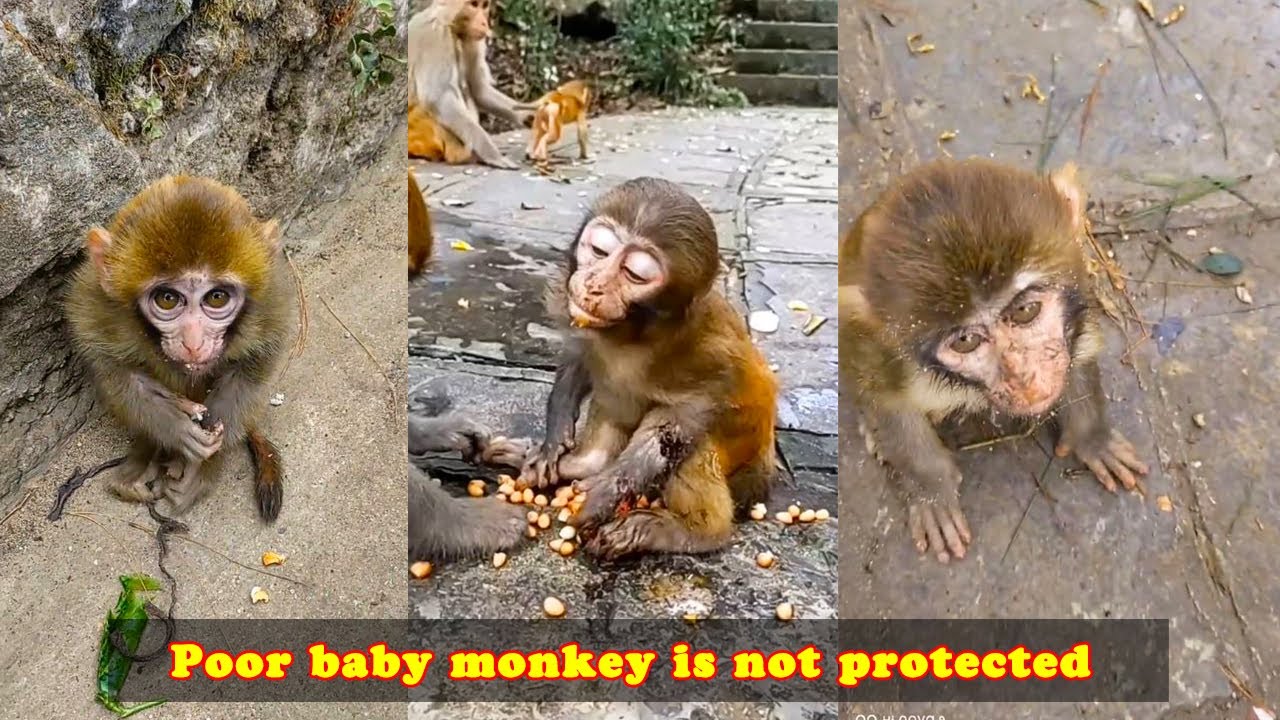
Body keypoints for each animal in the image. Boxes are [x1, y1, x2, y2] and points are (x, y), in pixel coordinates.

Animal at [65, 176, 294, 521]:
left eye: (216, 298)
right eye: (168, 299)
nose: (193, 343)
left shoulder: (270, 303)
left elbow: (259, 360)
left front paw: (204, 465)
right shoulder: (99, 305)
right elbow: (109, 365)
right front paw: (173, 424)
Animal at [408, 0, 523, 170]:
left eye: (484, 6)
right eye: (473, 5)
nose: (484, 23)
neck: (452, 26)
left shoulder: (473, 41)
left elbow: (478, 89)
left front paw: (529, 115)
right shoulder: (434, 37)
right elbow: (437, 98)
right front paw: (490, 152)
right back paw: (461, 155)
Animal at [518, 177, 779, 561]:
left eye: (634, 274)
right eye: (600, 250)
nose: (594, 285)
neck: (632, 335)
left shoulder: (706, 352)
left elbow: (681, 418)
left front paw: (607, 493)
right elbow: (580, 354)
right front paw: (555, 439)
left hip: (746, 465)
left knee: (694, 443)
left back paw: (689, 532)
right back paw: (585, 463)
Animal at [839, 158, 1150, 564]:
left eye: (1025, 311)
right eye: (966, 341)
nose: (1024, 377)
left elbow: (1078, 356)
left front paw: (1092, 437)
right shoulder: (889, 355)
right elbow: (887, 400)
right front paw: (931, 489)